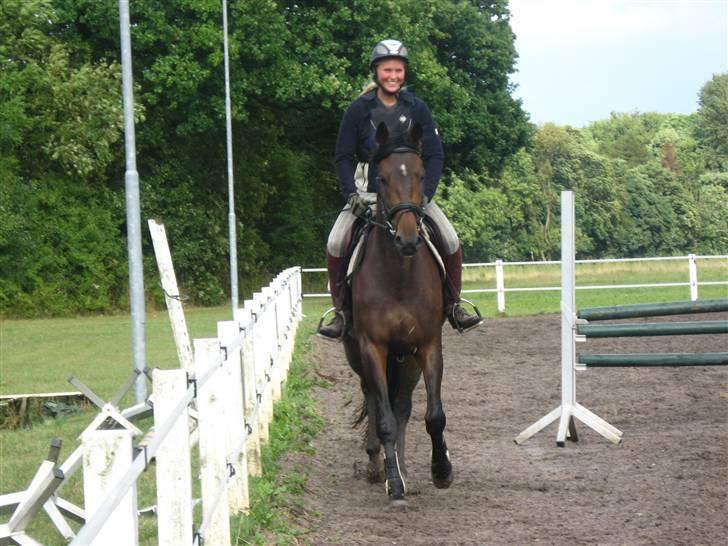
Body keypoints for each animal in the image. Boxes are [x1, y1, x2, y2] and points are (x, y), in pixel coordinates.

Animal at [342, 120, 456, 506]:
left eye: (420, 174)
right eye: (381, 178)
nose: (408, 239)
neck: (399, 276)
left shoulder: (427, 345)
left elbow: (433, 415)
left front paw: (441, 470)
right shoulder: (372, 347)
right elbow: (384, 418)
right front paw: (393, 484)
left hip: (406, 359)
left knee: (403, 405)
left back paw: (404, 468)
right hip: (359, 354)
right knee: (375, 400)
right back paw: (378, 466)